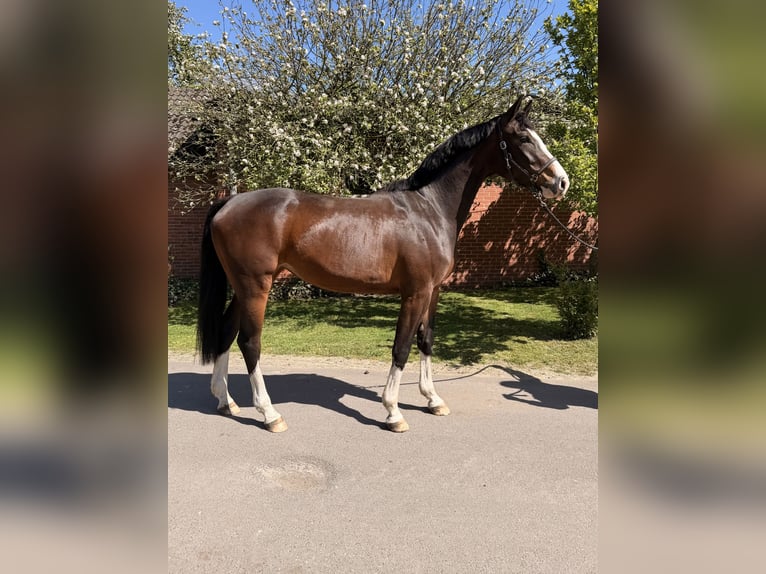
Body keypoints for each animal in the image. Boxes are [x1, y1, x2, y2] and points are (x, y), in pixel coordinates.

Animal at [196, 95, 569, 433]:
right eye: (524, 139)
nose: (560, 181)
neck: (429, 211)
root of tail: (229, 202)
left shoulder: (433, 292)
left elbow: (426, 340)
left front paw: (433, 399)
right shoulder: (415, 293)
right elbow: (401, 346)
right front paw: (393, 411)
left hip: (245, 287)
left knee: (226, 332)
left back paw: (225, 401)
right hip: (256, 286)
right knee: (250, 341)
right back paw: (269, 414)